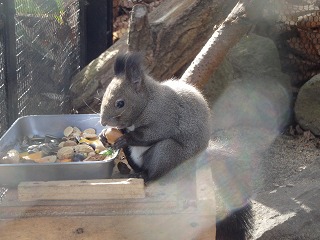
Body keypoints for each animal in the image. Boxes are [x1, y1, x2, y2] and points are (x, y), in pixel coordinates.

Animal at [99, 51, 211, 181]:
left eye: (120, 103)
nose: (103, 122)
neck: (148, 101)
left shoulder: (165, 115)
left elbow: (152, 132)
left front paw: (125, 139)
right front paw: (103, 135)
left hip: (166, 153)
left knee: (155, 172)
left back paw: (144, 176)